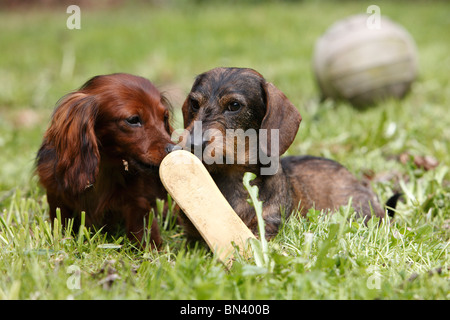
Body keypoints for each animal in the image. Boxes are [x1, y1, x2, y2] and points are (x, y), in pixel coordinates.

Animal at [37, 72, 178, 248]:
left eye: (164, 117)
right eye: (133, 120)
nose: (175, 149)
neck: (106, 168)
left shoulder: (139, 201)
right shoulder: (57, 195)